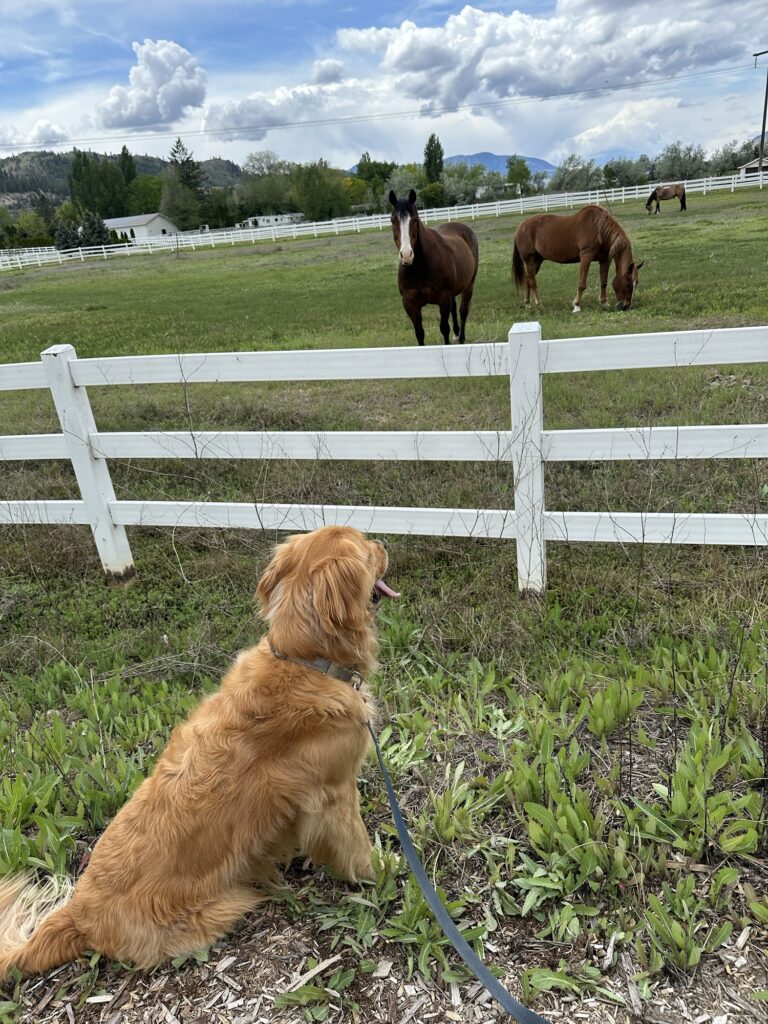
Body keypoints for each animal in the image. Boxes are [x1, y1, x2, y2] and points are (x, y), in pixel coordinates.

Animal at [0, 524, 397, 978]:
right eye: (366, 548)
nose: (384, 543)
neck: (305, 659)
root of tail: (78, 914)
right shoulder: (336, 793)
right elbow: (356, 844)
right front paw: (380, 871)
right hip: (223, 907)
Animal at [393, 192, 479, 348]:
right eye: (392, 220)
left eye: (414, 220)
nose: (407, 255)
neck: (419, 268)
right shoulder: (409, 303)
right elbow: (419, 333)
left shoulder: (443, 299)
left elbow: (444, 328)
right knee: (454, 307)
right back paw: (456, 334)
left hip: (469, 285)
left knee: (463, 311)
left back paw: (461, 338)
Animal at [514, 201, 647, 309]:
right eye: (628, 282)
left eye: (637, 282)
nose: (626, 306)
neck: (600, 228)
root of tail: (520, 227)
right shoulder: (586, 256)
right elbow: (582, 284)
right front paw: (577, 305)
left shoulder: (605, 259)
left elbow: (603, 282)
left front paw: (604, 302)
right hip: (529, 260)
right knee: (532, 282)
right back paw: (539, 304)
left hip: (537, 261)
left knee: (527, 280)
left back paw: (527, 304)